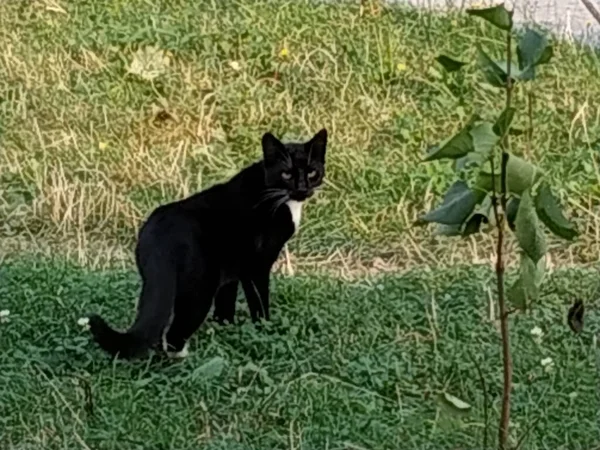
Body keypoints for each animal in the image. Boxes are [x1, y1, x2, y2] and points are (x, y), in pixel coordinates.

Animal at [89, 129, 328, 358]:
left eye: (312, 172)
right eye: (286, 174)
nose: (302, 189)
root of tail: (160, 236)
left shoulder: (233, 271)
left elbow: (226, 302)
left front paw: (225, 328)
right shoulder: (257, 266)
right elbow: (259, 302)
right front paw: (264, 328)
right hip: (199, 290)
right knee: (174, 332)